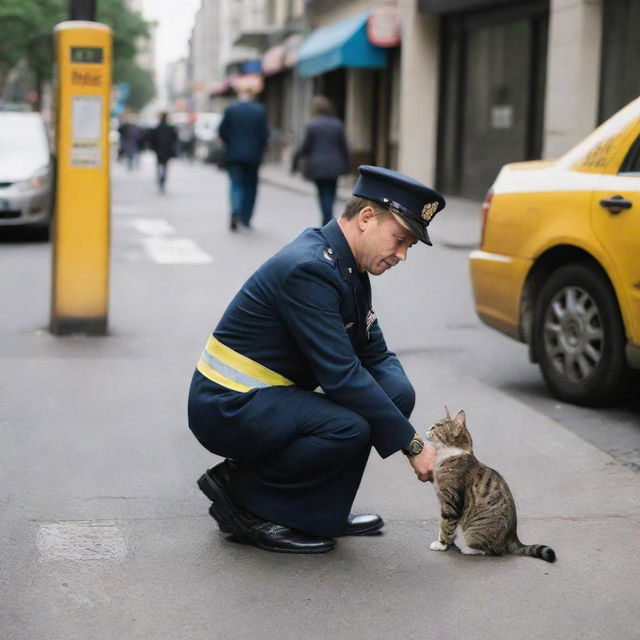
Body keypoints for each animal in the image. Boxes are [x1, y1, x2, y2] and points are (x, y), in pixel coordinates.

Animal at [428, 408, 556, 564]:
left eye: (436, 426)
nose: (428, 428)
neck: (449, 454)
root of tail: (513, 537)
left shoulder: (451, 502)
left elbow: (446, 525)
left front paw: (441, 544)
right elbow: (445, 524)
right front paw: (447, 540)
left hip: (475, 529)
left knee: (491, 551)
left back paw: (467, 548)